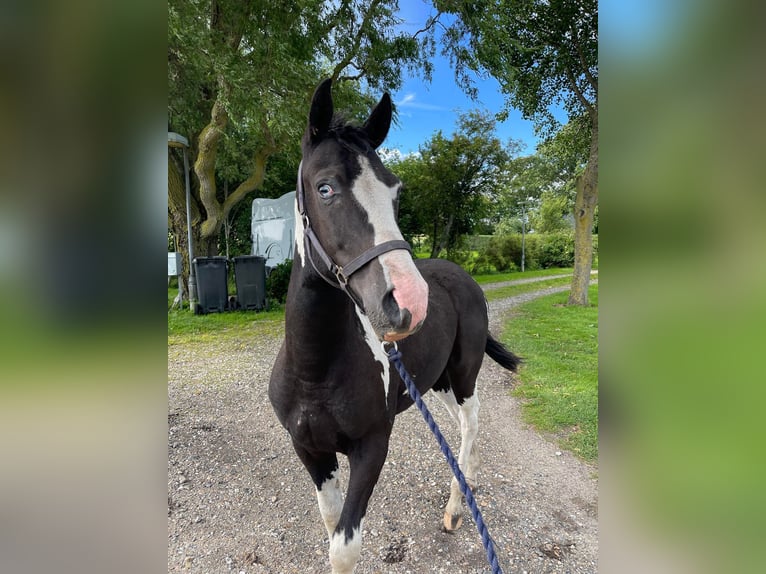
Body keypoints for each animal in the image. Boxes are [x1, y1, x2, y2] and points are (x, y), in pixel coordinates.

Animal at [268, 80, 520, 574]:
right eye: (325, 188)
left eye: (396, 192)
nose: (409, 304)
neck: (314, 370)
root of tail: (464, 277)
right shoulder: (308, 449)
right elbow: (331, 521)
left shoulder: (372, 447)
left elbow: (344, 548)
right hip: (435, 383)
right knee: (459, 426)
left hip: (463, 374)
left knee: (470, 423)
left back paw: (456, 508)